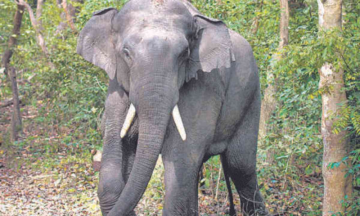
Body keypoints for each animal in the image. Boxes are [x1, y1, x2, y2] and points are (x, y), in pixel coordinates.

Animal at [76, 0, 268, 215]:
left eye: (184, 54)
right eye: (126, 53)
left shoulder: (204, 84)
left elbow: (181, 160)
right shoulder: (116, 86)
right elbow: (114, 157)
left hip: (251, 97)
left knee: (240, 165)